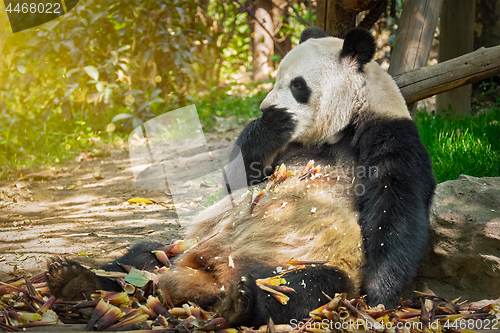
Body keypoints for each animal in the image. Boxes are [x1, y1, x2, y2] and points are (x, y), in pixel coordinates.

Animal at [47, 26, 438, 326]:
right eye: (276, 80)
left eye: (298, 85)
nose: (267, 106)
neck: (337, 130)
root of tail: (210, 276)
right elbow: (238, 180)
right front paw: (270, 124)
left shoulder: (390, 135)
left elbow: (396, 208)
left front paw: (380, 296)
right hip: (181, 248)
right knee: (138, 258)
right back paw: (75, 279)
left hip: (300, 261)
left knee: (305, 287)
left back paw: (242, 304)